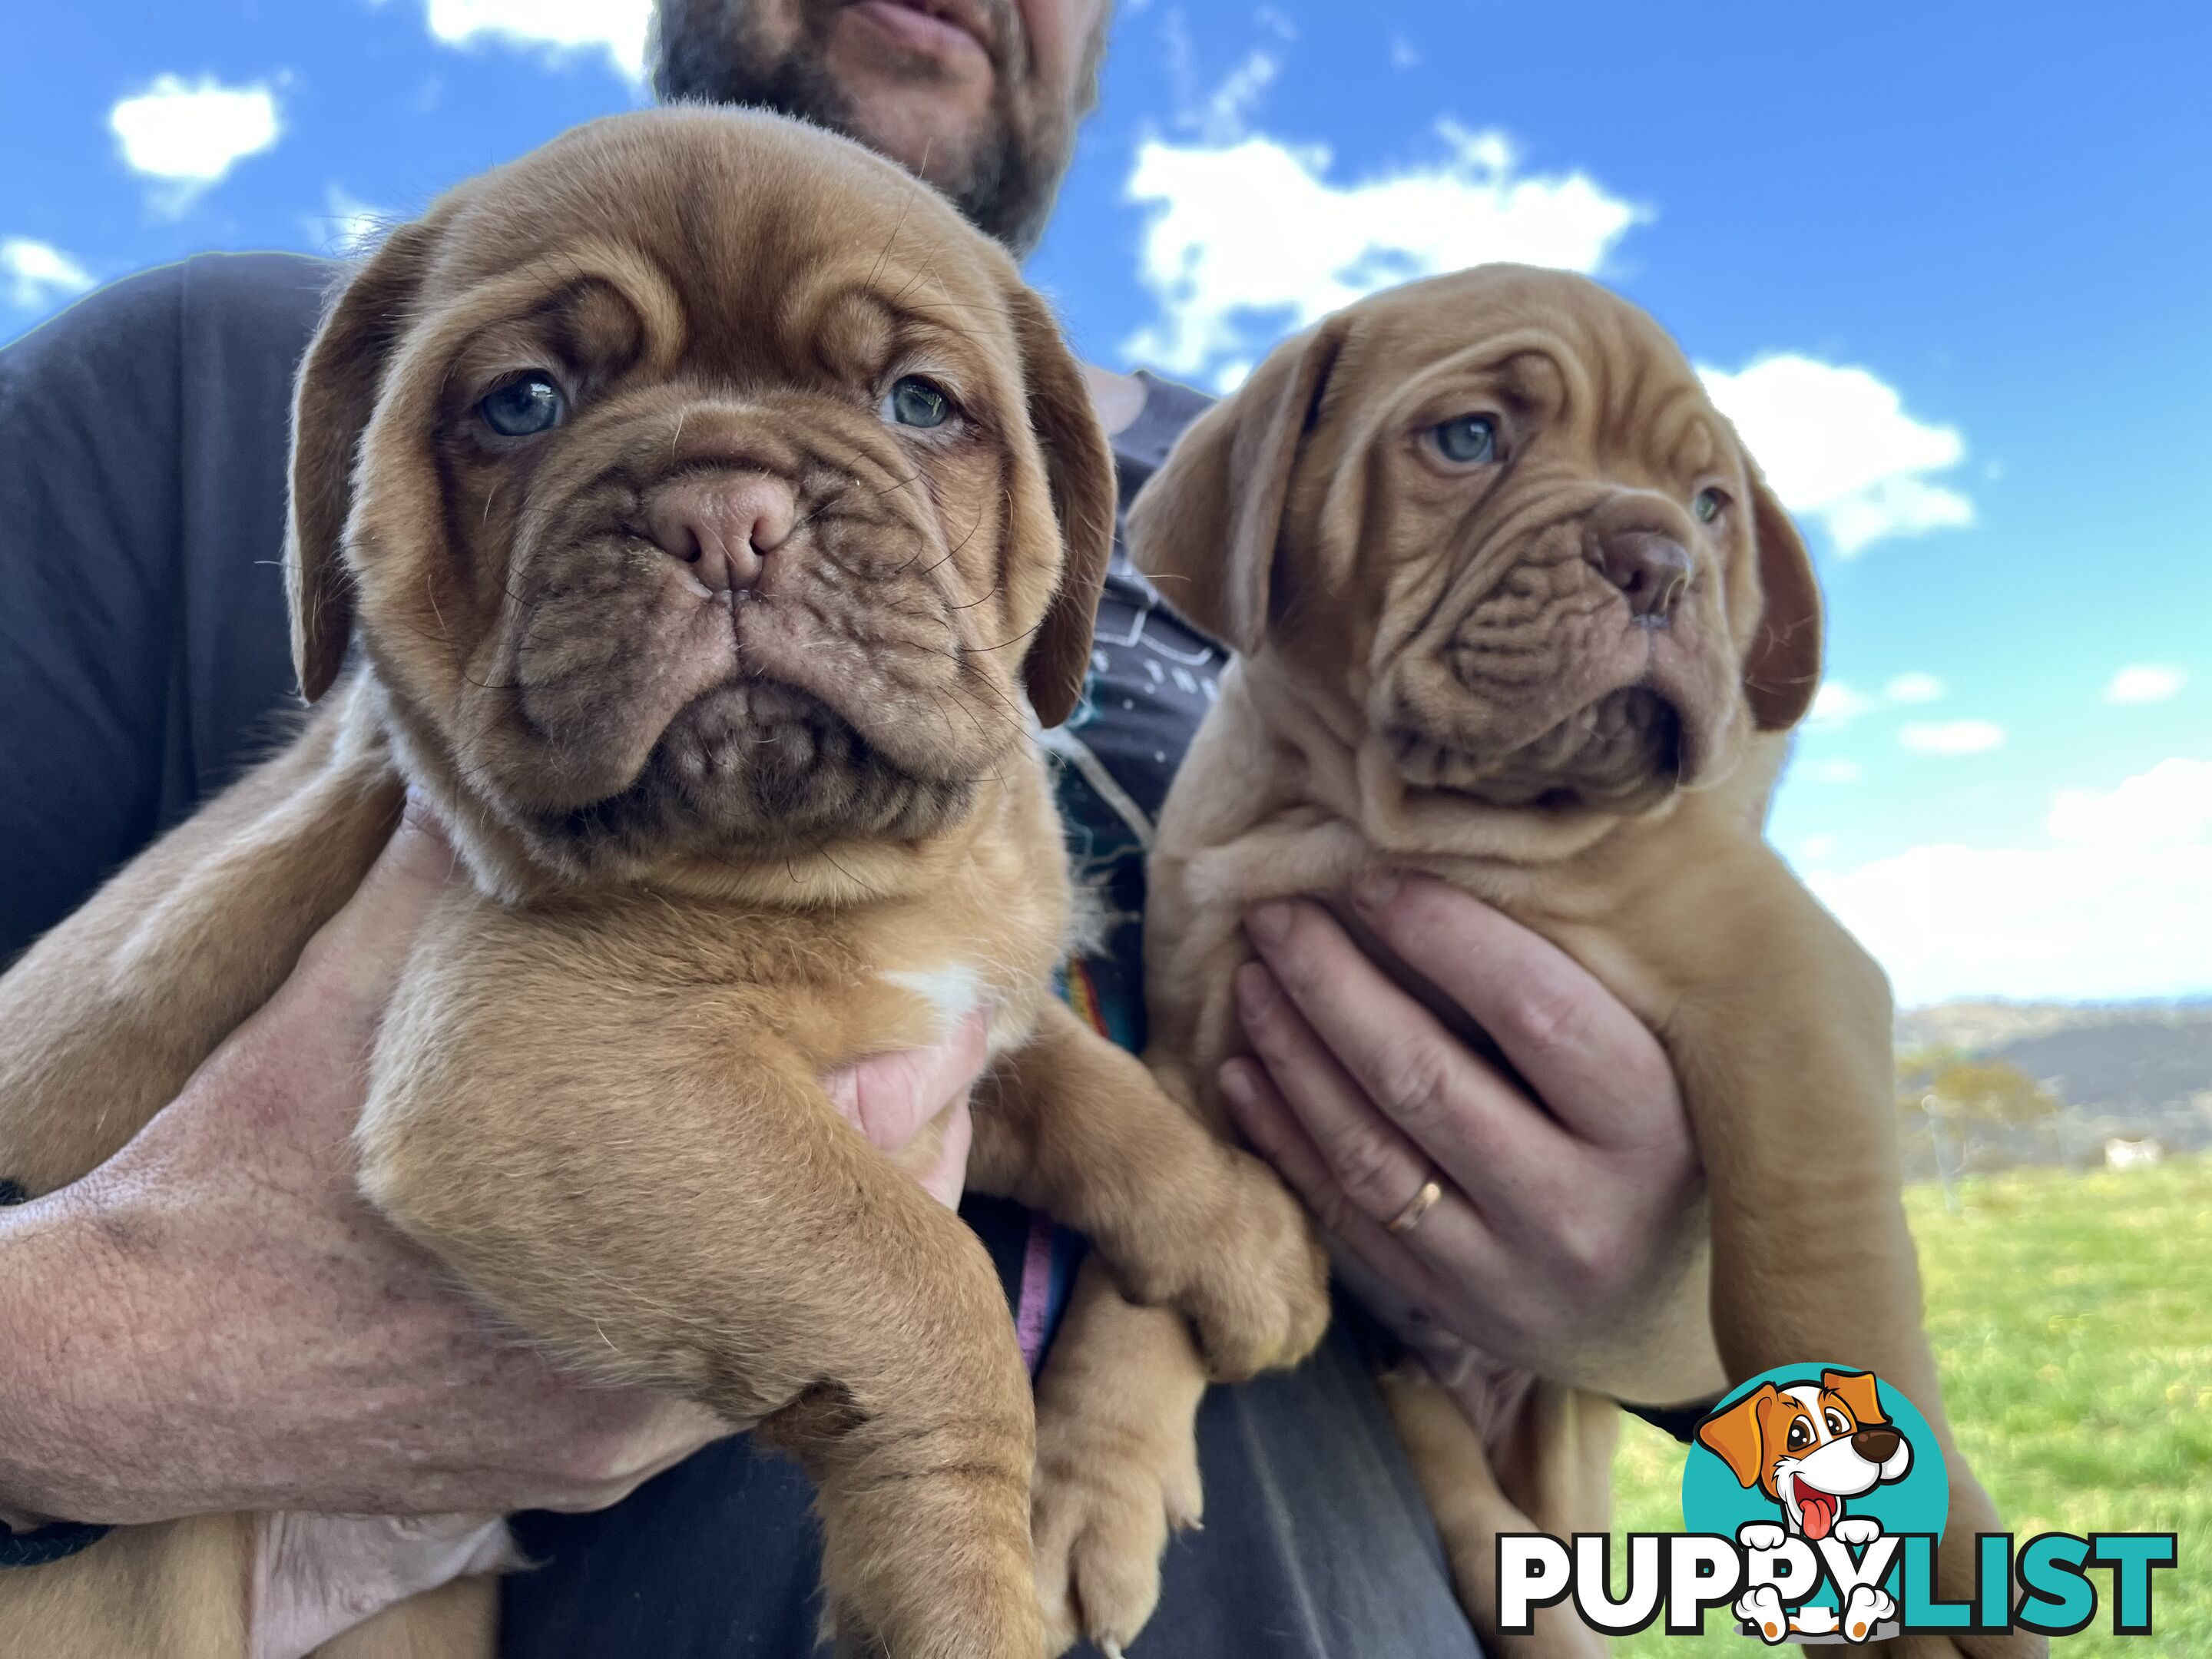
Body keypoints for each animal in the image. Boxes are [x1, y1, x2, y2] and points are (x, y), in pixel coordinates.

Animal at [0, 111, 1309, 1659]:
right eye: (523, 404)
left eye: (920, 403)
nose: (724, 513)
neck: (845, 872)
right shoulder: (555, 1060)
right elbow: (932, 1294)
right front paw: (968, 1602)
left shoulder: (954, 1021)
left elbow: (1096, 1093)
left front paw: (1248, 1241)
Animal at [1026, 267, 2044, 1659]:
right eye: (1468, 439)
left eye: (1712, 505)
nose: (1662, 559)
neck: (1408, 824)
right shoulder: (1196, 1058)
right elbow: (1152, 1273)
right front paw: (1089, 1478)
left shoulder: (1785, 988)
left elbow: (1811, 1279)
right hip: (1430, 1419)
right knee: (1485, 1532)